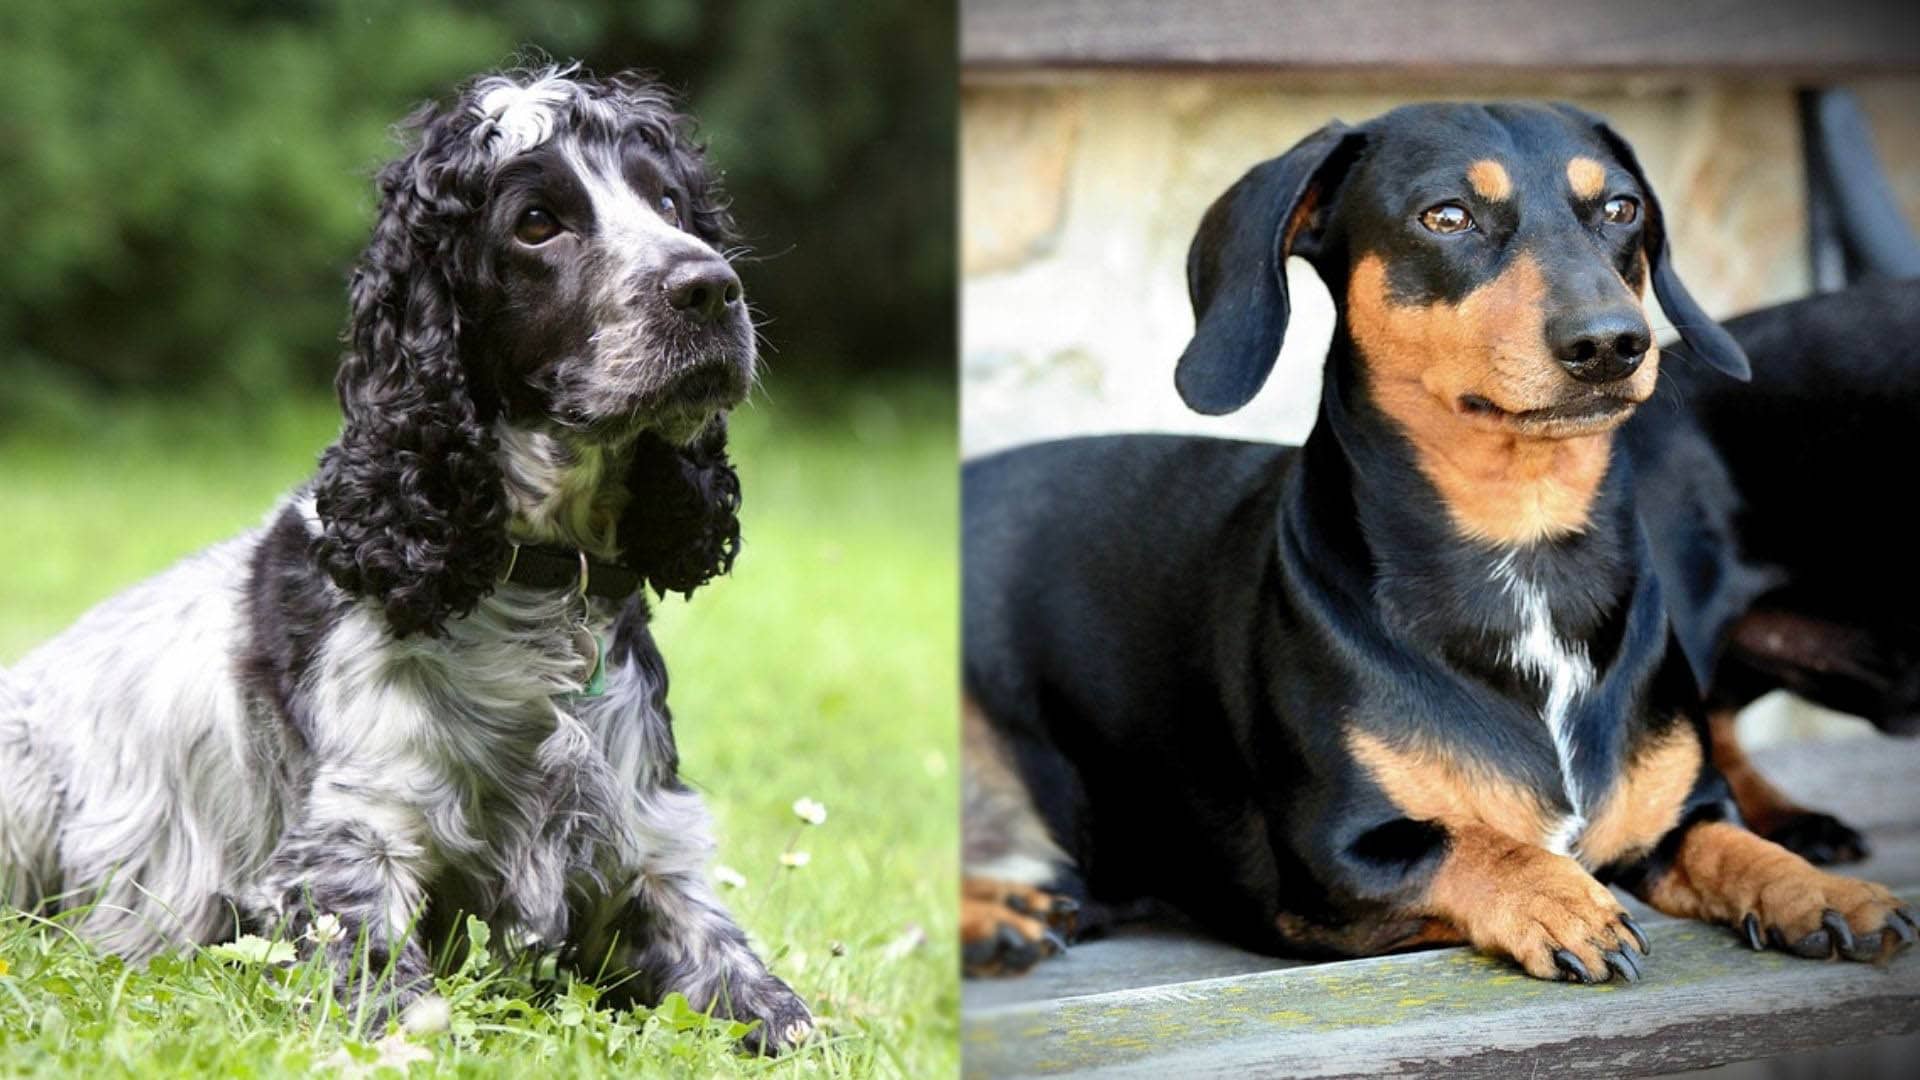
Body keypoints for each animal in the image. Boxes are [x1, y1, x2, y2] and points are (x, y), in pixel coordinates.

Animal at [0, 67, 810, 1053]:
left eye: (669, 203)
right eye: (535, 223)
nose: (711, 288)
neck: (535, 588)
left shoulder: (651, 853)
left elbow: (777, 1008)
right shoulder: (350, 850)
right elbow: (399, 1004)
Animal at [967, 105, 1912, 980]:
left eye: (1621, 208)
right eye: (1446, 216)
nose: (1612, 343)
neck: (1526, 549)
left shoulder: (1679, 819)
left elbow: (1732, 844)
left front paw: (1816, 890)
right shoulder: (1335, 861)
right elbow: (1475, 843)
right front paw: (1561, 900)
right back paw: (999, 917)